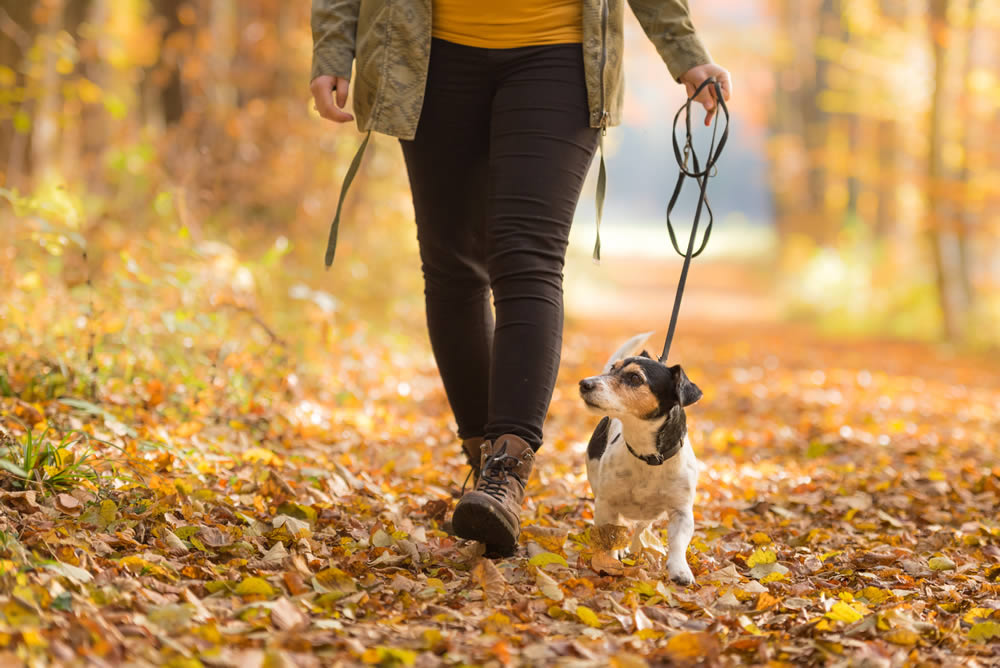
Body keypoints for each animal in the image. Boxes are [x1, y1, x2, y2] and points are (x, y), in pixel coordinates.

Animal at [580, 332, 704, 580]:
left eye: (635, 378)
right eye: (612, 369)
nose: (584, 383)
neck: (648, 458)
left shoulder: (682, 512)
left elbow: (678, 542)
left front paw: (680, 569)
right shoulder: (606, 505)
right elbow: (609, 536)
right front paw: (609, 561)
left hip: (652, 512)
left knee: (641, 527)